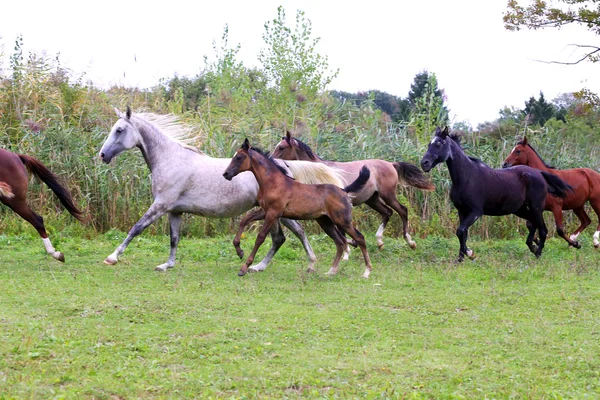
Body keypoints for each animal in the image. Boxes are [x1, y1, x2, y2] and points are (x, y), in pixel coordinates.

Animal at [225, 140, 376, 278]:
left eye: (239, 157)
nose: (226, 174)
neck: (274, 183)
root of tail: (344, 190)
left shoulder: (273, 213)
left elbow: (260, 237)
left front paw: (244, 267)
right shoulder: (264, 211)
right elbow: (244, 220)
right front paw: (239, 250)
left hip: (342, 220)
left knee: (359, 238)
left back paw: (367, 271)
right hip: (325, 222)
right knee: (339, 242)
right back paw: (331, 271)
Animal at [270, 131, 434, 250]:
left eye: (281, 147)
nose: (271, 160)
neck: (318, 171)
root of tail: (391, 164)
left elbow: (341, 232)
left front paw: (349, 248)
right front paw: (353, 244)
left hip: (388, 195)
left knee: (402, 211)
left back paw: (410, 242)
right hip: (372, 199)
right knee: (387, 212)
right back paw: (380, 242)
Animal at [422, 126, 572, 260]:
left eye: (439, 144)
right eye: (429, 143)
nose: (424, 163)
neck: (466, 177)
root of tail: (539, 173)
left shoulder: (475, 212)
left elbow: (460, 231)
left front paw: (470, 254)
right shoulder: (462, 211)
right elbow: (462, 234)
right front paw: (460, 258)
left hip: (536, 207)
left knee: (543, 230)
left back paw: (538, 254)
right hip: (520, 209)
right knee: (533, 224)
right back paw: (533, 247)